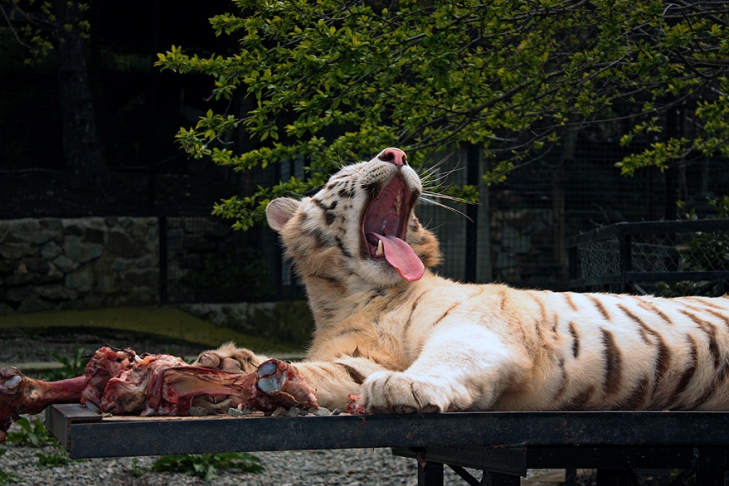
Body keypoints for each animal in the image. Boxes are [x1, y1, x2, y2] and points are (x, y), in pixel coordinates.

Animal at [195, 147, 729, 413]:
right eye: (343, 173)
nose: (396, 152)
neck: (356, 298)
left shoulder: (479, 324)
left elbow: (450, 354)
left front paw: (404, 387)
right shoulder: (361, 357)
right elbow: (326, 372)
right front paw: (230, 365)